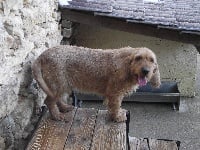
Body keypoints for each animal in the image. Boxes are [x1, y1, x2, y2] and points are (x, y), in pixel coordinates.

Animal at [32, 44, 161, 122]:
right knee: (49, 101)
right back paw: (56, 116)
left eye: (151, 60)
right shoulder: (115, 94)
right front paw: (117, 117)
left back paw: (64, 107)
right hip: (58, 84)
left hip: (62, 86)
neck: (127, 66)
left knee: (56, 99)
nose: (145, 71)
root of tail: (42, 55)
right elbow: (115, 106)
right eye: (138, 58)